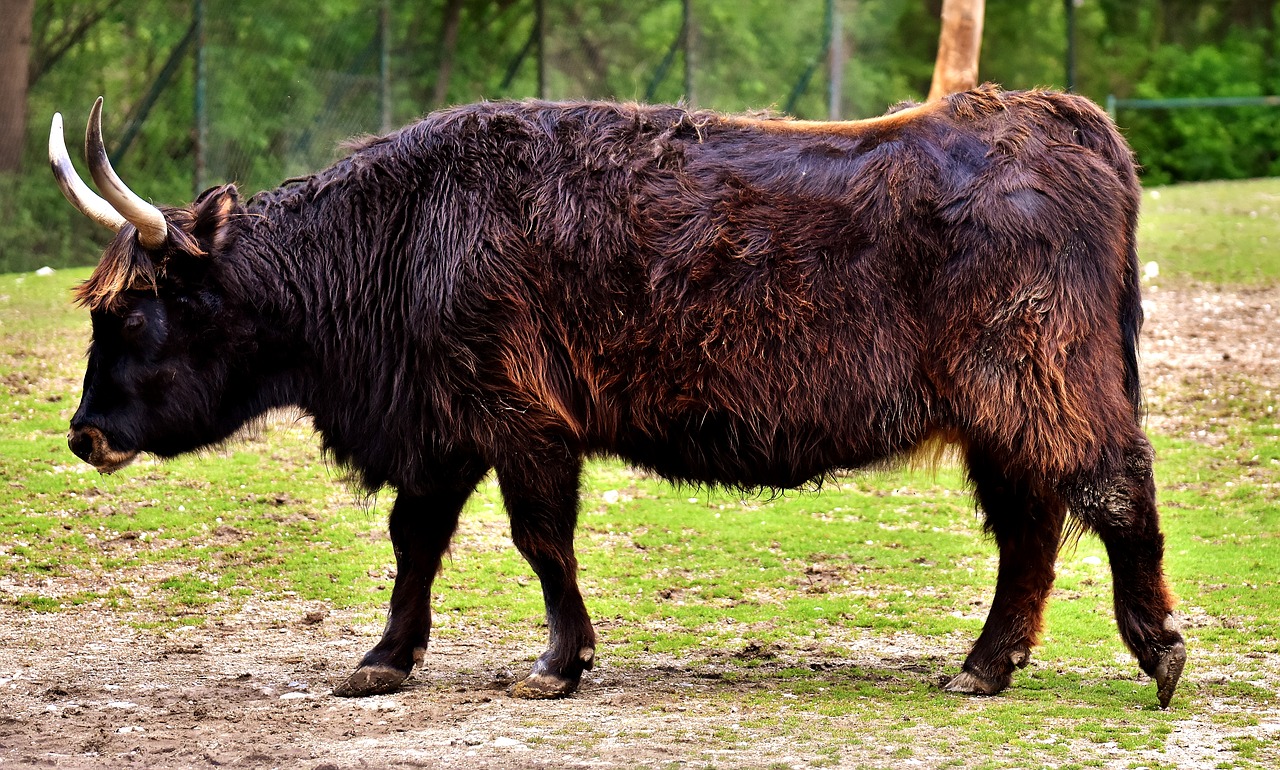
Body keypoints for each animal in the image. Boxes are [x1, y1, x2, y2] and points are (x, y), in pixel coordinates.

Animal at [52, 83, 1187, 700]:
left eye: (136, 314)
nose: (83, 434)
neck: (406, 230)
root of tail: (1060, 122)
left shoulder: (522, 422)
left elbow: (538, 541)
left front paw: (556, 661)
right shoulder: (445, 429)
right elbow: (416, 541)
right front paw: (384, 657)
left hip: (1041, 386)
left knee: (1114, 490)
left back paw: (1158, 651)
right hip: (995, 417)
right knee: (1029, 530)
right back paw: (983, 664)